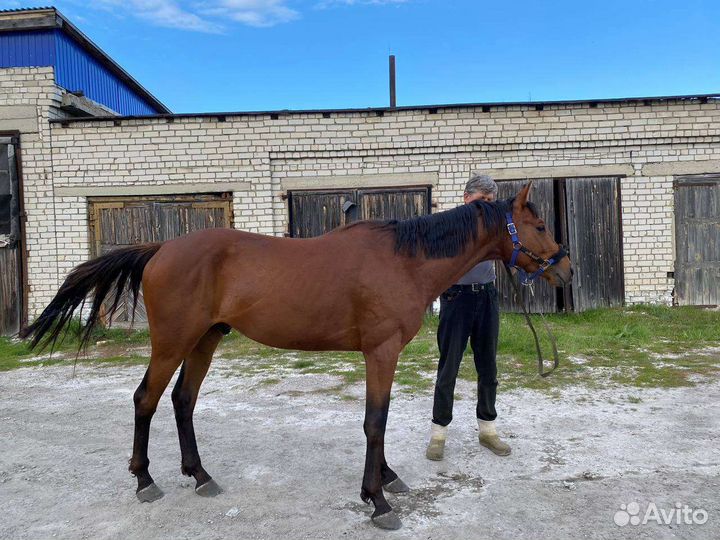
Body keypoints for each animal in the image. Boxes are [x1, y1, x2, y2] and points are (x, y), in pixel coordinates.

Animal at [20, 181, 571, 530]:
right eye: (541, 224)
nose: (566, 271)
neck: (404, 260)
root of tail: (161, 249)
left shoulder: (382, 355)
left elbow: (379, 419)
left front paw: (387, 479)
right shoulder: (381, 352)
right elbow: (375, 421)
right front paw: (377, 500)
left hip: (205, 340)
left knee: (182, 402)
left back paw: (200, 476)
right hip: (174, 342)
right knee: (146, 400)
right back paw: (145, 480)